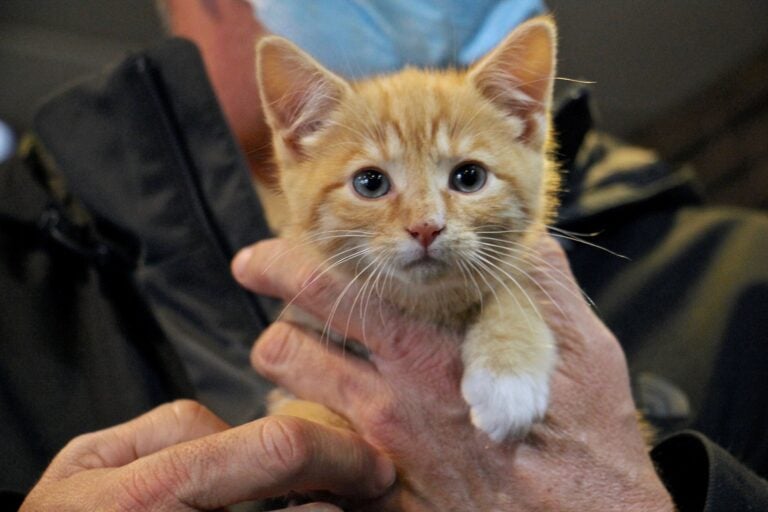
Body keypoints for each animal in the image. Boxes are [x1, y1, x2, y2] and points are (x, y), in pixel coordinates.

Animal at [255, 18, 560, 442]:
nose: (426, 227)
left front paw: (507, 377)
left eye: (469, 177)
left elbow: (516, 290)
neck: (426, 304)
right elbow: (302, 409)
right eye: (370, 183)